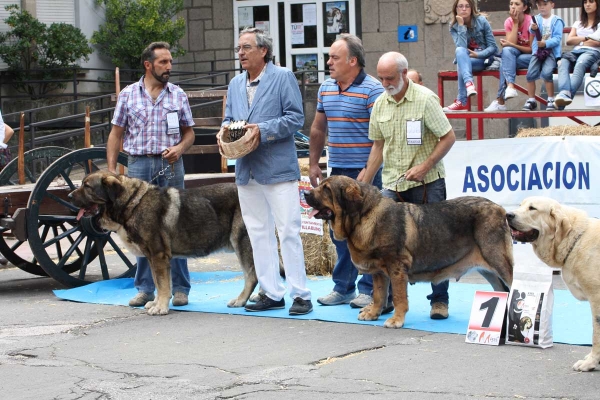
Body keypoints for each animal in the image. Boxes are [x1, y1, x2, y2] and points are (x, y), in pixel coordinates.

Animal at [70, 171, 258, 316]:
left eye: (87, 187)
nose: (69, 195)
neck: (132, 203)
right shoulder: (152, 258)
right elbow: (158, 283)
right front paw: (156, 303)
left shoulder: (158, 255)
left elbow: (162, 284)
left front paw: (160, 307)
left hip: (241, 242)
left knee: (252, 276)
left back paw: (241, 300)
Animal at [308, 175, 512, 328]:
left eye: (326, 189)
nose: (305, 193)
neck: (364, 215)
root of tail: (500, 209)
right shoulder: (379, 272)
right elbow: (379, 295)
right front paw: (373, 313)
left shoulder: (397, 267)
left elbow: (398, 297)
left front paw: (396, 320)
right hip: (488, 270)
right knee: (502, 291)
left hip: (499, 262)